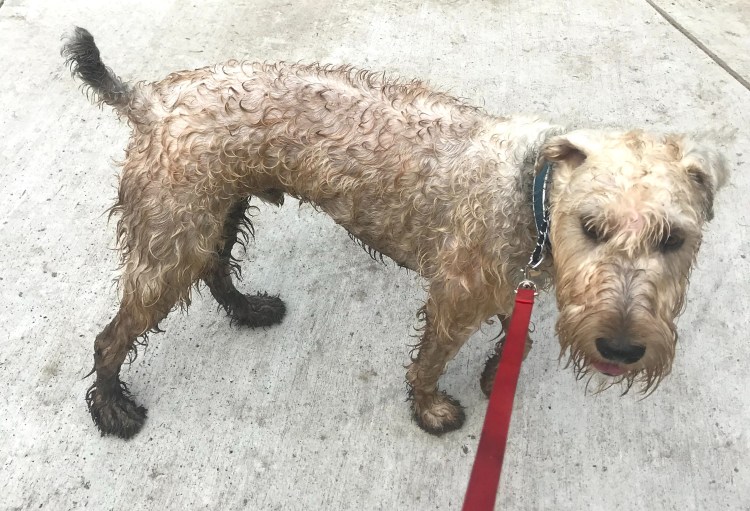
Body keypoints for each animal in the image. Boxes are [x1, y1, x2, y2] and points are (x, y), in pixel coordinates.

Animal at [62, 27, 728, 439]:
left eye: (673, 239)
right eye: (591, 227)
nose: (622, 349)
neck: (532, 198)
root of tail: (148, 98)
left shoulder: (505, 281)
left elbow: (517, 331)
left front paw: (499, 373)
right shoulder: (456, 298)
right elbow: (430, 362)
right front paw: (430, 409)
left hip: (215, 213)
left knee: (217, 269)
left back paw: (247, 309)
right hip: (172, 238)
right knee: (111, 337)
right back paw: (112, 406)